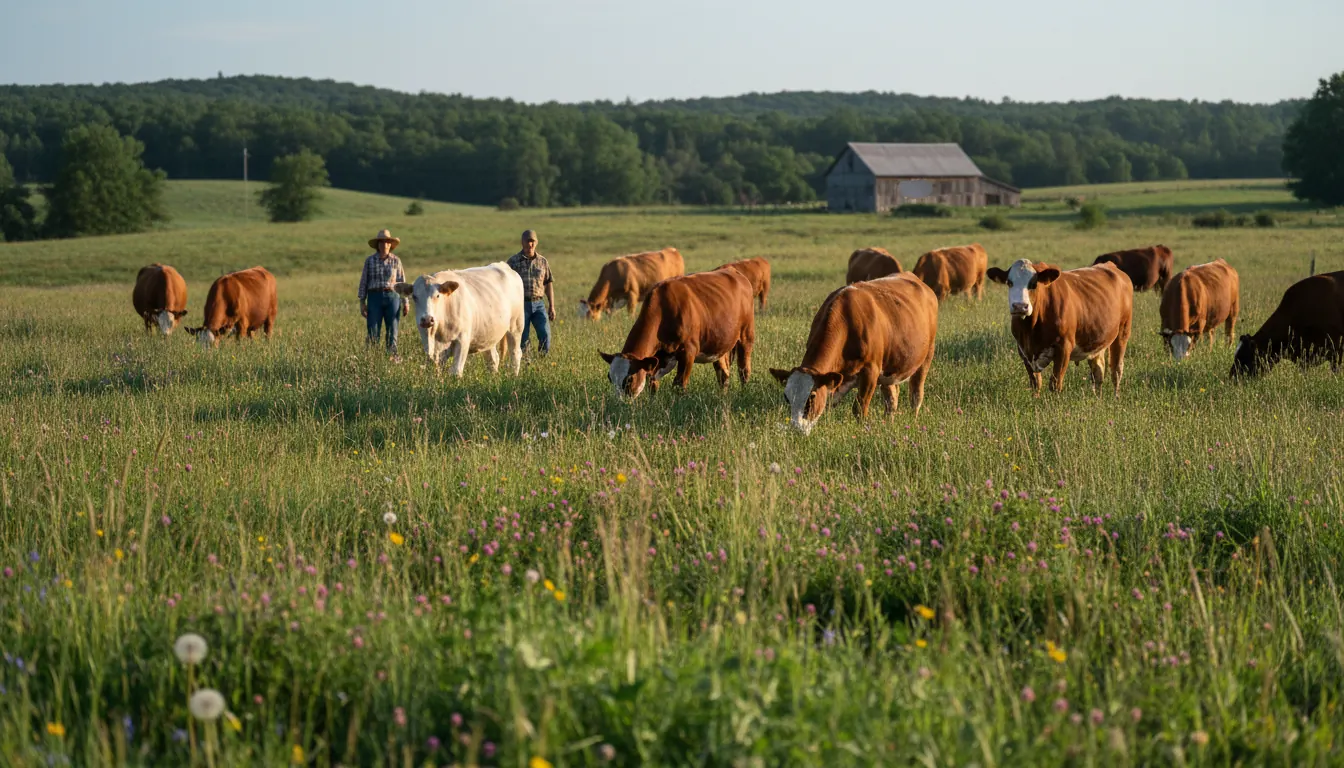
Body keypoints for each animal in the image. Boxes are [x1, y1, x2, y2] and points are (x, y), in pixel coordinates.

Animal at [394, 262, 524, 377]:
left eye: (437, 295)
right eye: (415, 297)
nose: (427, 319)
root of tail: (502, 265)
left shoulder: (462, 341)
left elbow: (456, 372)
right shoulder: (430, 345)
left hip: (516, 326)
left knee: (515, 353)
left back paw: (513, 376)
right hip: (489, 333)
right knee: (493, 359)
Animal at [599, 269, 755, 399]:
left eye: (629, 379)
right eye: (609, 377)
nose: (620, 403)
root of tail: (734, 272)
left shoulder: (688, 351)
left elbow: (679, 384)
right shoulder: (658, 358)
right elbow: (652, 384)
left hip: (746, 336)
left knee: (744, 370)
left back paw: (744, 393)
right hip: (718, 345)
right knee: (723, 374)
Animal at [770, 273, 937, 435]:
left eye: (812, 396)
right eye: (787, 398)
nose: (796, 430)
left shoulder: (871, 371)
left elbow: (859, 409)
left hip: (926, 357)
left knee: (916, 395)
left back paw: (913, 421)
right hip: (891, 368)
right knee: (891, 399)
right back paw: (888, 424)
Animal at [986, 259, 1132, 394]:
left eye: (1033, 284)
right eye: (1009, 283)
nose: (1020, 306)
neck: (1031, 329)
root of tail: (1109, 265)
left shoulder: (1064, 347)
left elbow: (1055, 384)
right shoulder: (1024, 351)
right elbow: (1035, 383)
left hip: (1123, 332)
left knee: (1116, 371)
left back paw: (1116, 397)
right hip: (1096, 342)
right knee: (1098, 372)